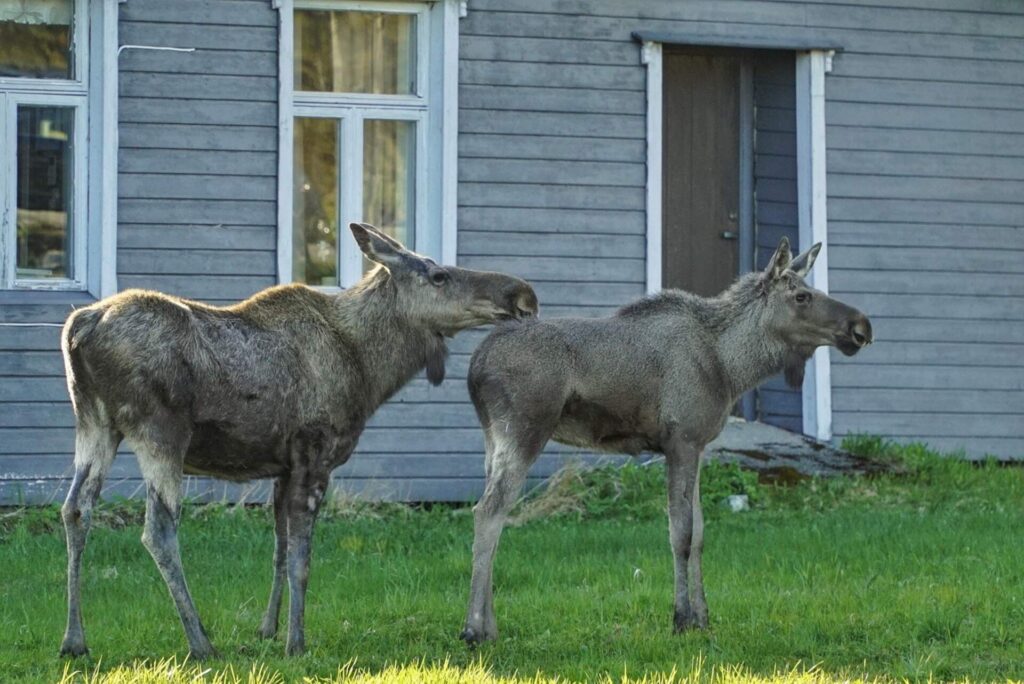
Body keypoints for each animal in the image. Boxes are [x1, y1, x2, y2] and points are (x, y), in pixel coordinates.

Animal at [58, 223, 538, 659]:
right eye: (438, 276)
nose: (522, 294)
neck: (369, 370)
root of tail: (81, 327)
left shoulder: (282, 466)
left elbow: (278, 549)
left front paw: (268, 630)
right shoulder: (315, 455)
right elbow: (302, 561)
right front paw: (296, 642)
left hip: (94, 421)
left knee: (76, 510)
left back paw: (74, 641)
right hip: (160, 431)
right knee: (158, 531)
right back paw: (200, 643)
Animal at [459, 238, 872, 645]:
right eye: (801, 296)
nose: (862, 326)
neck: (732, 369)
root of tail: (475, 367)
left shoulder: (700, 445)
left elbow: (701, 532)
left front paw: (703, 618)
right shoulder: (681, 441)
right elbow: (681, 533)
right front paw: (681, 618)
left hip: (493, 438)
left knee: (492, 514)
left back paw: (490, 627)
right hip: (525, 431)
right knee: (488, 512)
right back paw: (474, 629)